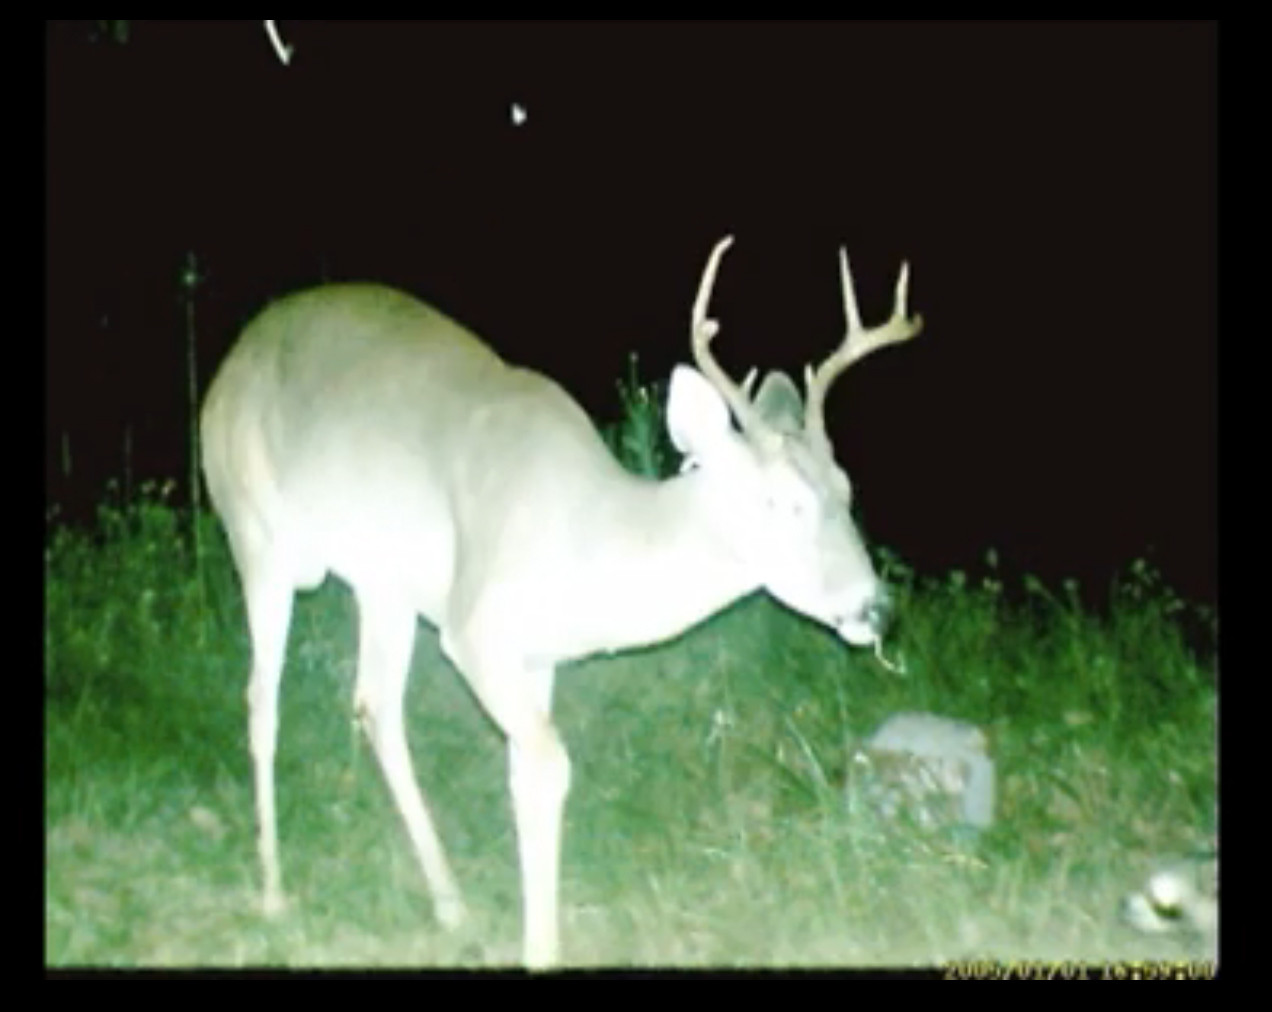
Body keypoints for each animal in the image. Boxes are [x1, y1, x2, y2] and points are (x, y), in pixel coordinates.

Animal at [200, 235, 923, 968]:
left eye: (847, 488)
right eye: (780, 501)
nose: (876, 609)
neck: (590, 537)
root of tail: (231, 362)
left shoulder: (536, 655)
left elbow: (526, 779)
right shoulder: (473, 628)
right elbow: (550, 769)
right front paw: (540, 949)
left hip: (384, 582)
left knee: (375, 705)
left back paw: (449, 903)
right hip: (256, 535)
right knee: (262, 699)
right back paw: (273, 892)